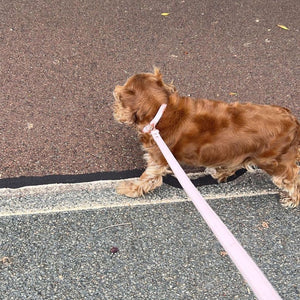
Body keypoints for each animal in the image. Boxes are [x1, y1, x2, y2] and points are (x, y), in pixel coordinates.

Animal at [113, 67, 298, 207]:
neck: (161, 110)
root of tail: (293, 120)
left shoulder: (158, 159)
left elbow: (148, 178)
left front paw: (129, 188)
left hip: (273, 163)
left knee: (292, 178)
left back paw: (291, 199)